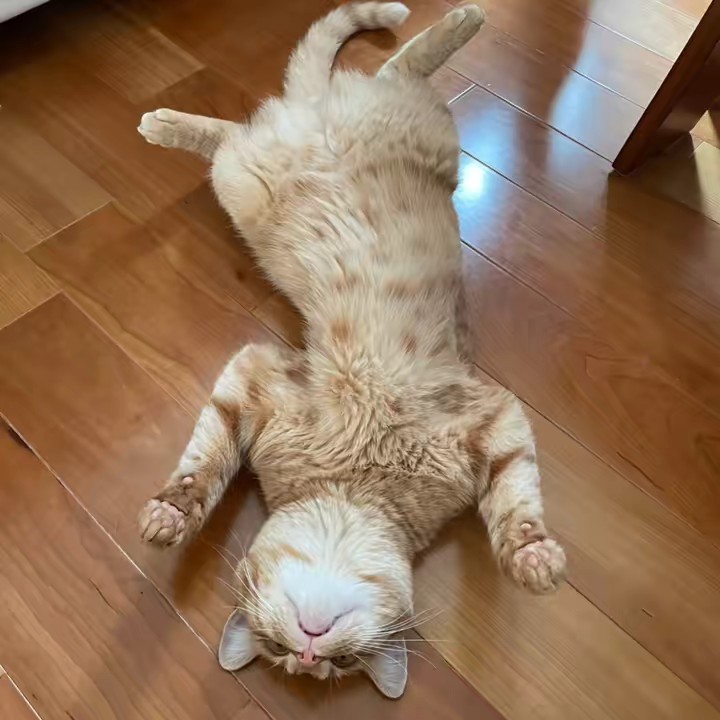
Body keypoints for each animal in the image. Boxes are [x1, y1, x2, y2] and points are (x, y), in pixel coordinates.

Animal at [136, 2, 566, 699]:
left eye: (342, 664)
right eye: (277, 648)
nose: (309, 653)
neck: (356, 481)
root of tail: (315, 115)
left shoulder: (495, 417)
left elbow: (517, 499)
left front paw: (531, 556)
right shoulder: (254, 377)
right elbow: (204, 466)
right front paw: (172, 517)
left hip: (402, 130)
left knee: (383, 70)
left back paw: (461, 19)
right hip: (250, 176)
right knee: (245, 126)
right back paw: (167, 121)